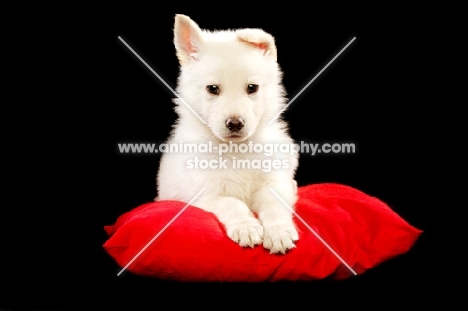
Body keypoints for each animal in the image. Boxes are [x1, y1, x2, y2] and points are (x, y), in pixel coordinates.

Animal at [155, 14, 298, 255]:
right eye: (213, 89)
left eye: (252, 88)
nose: (235, 123)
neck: (236, 150)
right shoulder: (207, 194)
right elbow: (232, 204)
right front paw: (246, 226)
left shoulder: (274, 182)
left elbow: (273, 205)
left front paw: (279, 231)